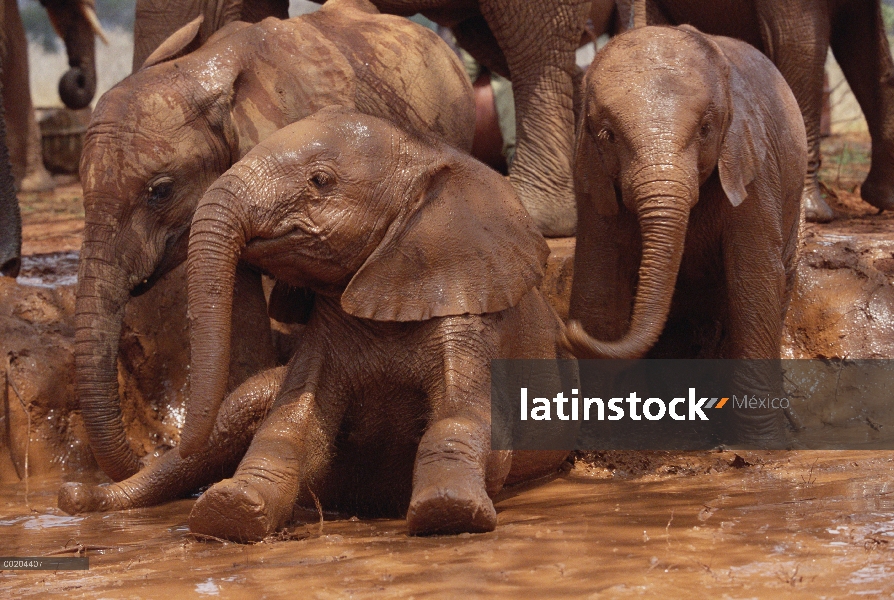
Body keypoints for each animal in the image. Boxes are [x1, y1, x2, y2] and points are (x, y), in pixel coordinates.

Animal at [61, 109, 576, 544]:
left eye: (320, 180)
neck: (431, 154)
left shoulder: (469, 312)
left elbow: (462, 420)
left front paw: (448, 513)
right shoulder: (325, 337)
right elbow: (292, 429)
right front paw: (230, 511)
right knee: (230, 420)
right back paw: (81, 500)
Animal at [568, 24, 812, 440]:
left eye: (705, 129)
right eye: (607, 135)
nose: (568, 331)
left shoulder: (752, 161)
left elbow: (755, 281)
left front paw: (763, 444)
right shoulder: (591, 175)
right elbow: (597, 283)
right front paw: (603, 440)